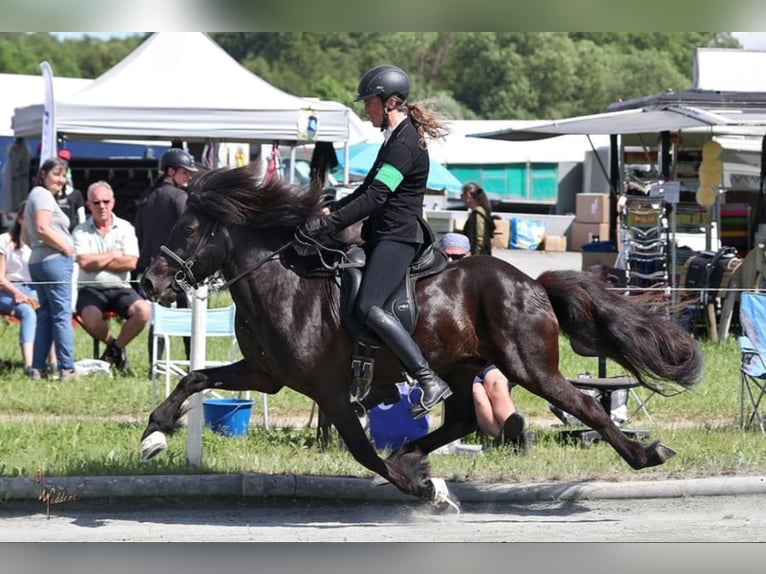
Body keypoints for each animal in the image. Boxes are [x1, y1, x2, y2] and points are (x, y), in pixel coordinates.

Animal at [139, 163, 702, 505]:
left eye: (189, 229)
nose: (149, 282)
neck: (284, 283)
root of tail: (532, 283)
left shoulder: (328, 390)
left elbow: (361, 449)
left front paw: (422, 490)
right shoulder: (265, 374)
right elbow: (195, 379)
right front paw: (154, 433)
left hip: (528, 366)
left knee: (583, 406)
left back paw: (645, 454)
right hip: (463, 364)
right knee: (461, 418)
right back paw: (411, 453)